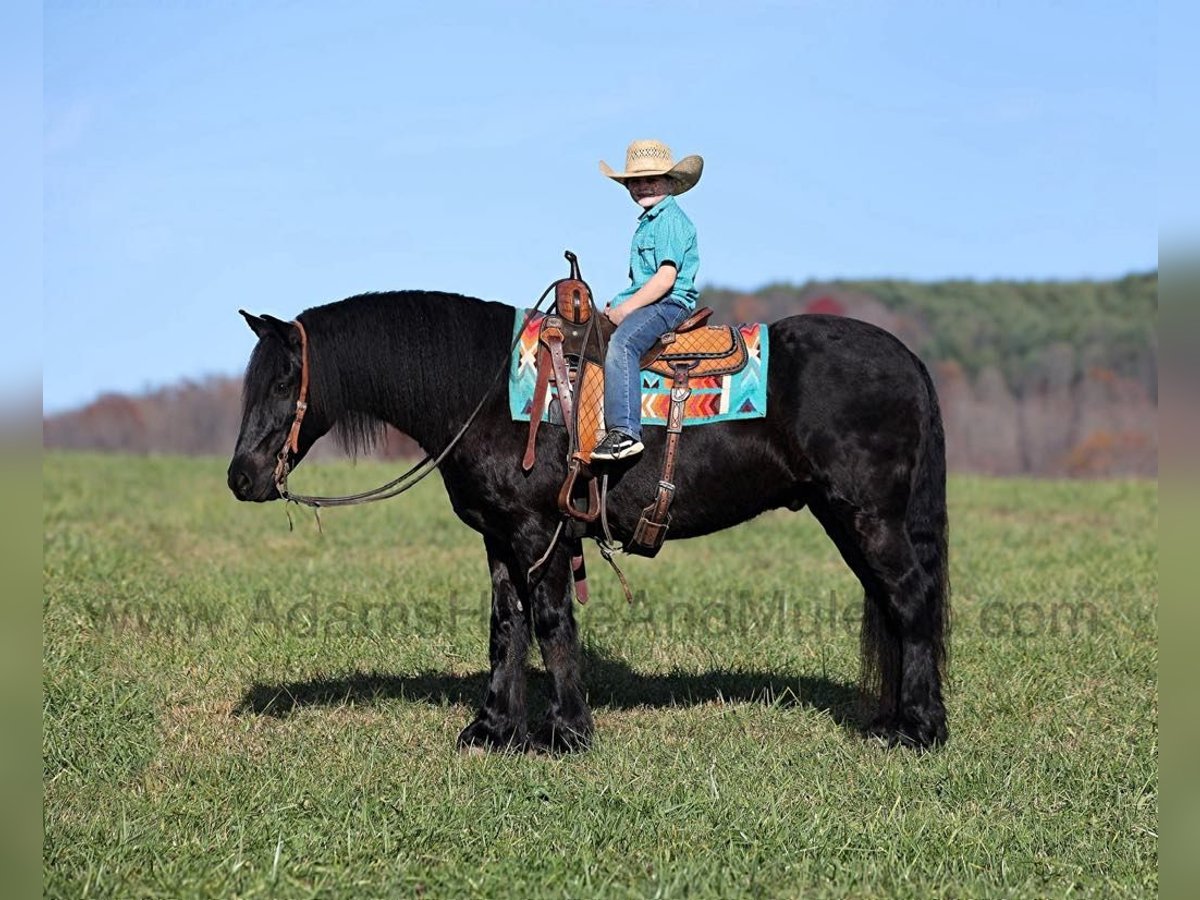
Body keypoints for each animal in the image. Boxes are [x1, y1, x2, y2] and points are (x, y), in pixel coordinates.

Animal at [229, 292, 950, 748]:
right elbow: (506, 628)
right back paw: (893, 721)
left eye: (282, 381)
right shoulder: (500, 538)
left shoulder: (537, 533)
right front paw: (492, 730)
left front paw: (567, 732)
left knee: (912, 601)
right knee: (893, 607)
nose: (241, 477)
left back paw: (920, 729)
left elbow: (551, 624)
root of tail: (909, 360)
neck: (497, 394)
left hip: (867, 517)